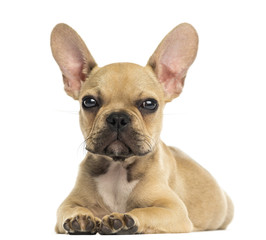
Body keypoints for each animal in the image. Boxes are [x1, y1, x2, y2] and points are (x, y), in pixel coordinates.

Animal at [50, 23, 233, 234]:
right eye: (89, 102)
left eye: (149, 104)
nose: (118, 117)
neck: (118, 168)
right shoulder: (67, 205)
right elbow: (72, 209)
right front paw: (79, 217)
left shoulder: (174, 211)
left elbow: (146, 211)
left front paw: (122, 219)